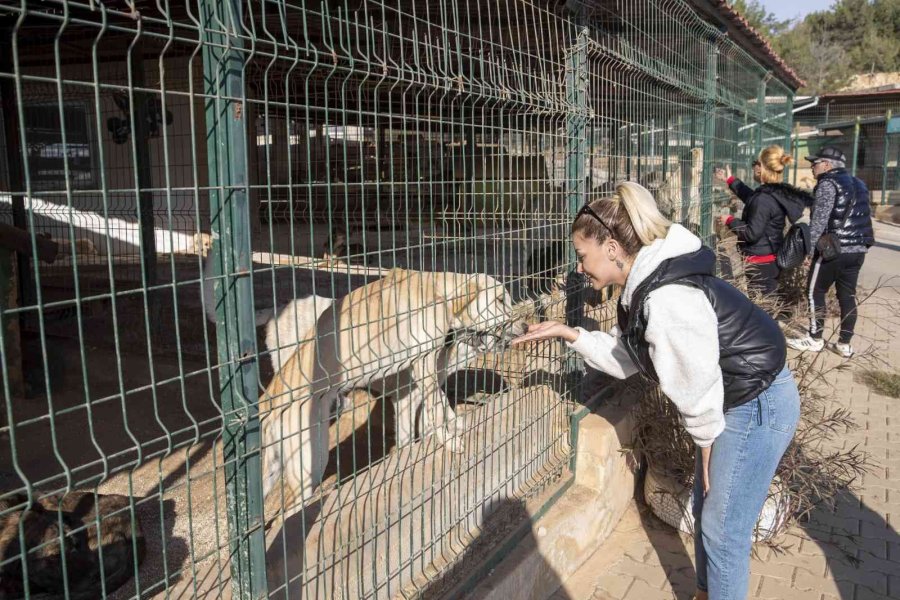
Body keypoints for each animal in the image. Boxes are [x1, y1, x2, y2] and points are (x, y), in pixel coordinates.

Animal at [258, 268, 528, 510]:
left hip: (283, 465)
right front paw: (449, 440)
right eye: (500, 300)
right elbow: (436, 409)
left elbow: (436, 407)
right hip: (309, 466)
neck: (441, 294)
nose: (526, 327)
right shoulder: (422, 369)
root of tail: (266, 402)